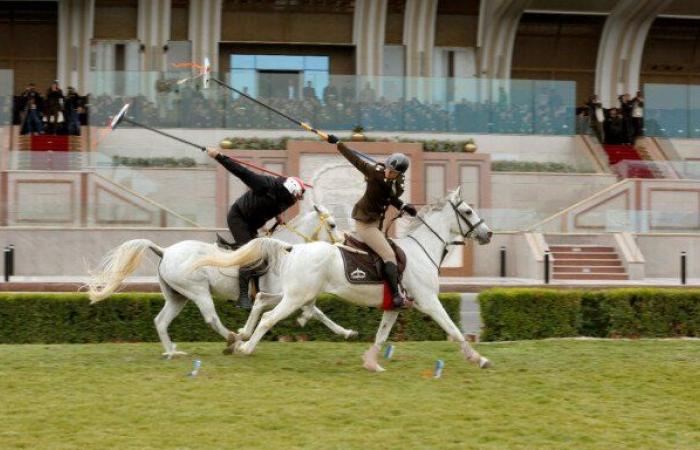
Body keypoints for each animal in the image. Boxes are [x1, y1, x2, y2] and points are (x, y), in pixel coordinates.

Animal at [85, 205, 356, 358]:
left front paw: (347, 332)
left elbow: (317, 311)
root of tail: (165, 251)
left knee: (160, 321)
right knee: (211, 318)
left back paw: (173, 351)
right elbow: (311, 309)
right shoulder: (287, 293)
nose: (344, 240)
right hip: (198, 291)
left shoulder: (296, 293)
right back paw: (232, 340)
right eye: (332, 224)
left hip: (177, 297)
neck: (288, 253)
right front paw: (245, 335)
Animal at [194, 187, 494, 372]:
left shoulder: (394, 306)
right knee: (269, 316)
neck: (422, 251)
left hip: (293, 293)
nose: (488, 234)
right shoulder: (430, 302)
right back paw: (245, 346)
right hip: (296, 297)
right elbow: (454, 331)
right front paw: (479, 359)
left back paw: (240, 338)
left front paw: (372, 363)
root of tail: (294, 249)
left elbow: (381, 335)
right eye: (468, 211)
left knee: (263, 302)